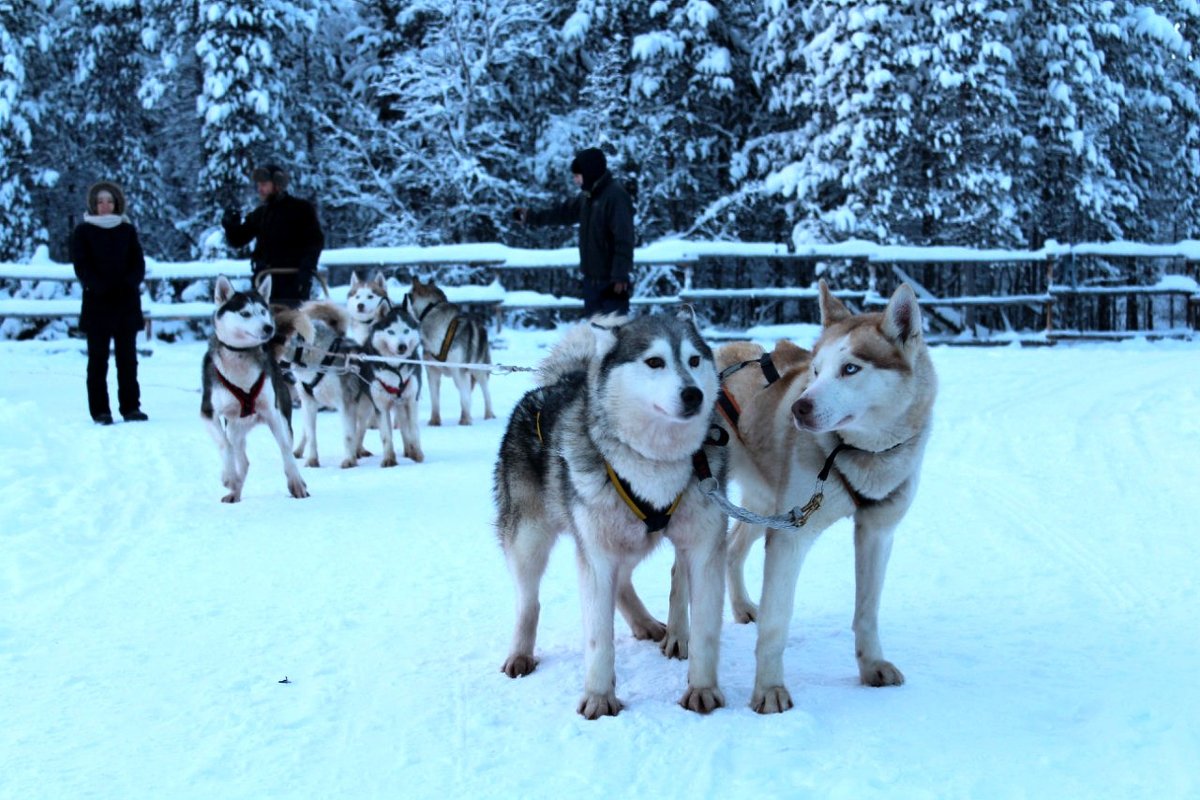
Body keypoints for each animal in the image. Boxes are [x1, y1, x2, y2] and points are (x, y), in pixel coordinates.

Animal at [200, 273, 309, 501]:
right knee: (240, 457)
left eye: (263, 311)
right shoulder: (207, 412)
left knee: (278, 447)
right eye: (245, 313)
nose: (268, 327)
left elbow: (286, 450)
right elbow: (224, 445)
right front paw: (228, 476)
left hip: (280, 418)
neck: (240, 356)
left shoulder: (272, 413)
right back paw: (234, 489)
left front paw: (296, 483)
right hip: (234, 429)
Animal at [405, 277, 494, 424]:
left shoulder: (459, 371)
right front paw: (434, 421)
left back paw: (488, 415)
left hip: (478, 370)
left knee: (485, 392)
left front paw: (466, 421)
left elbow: (465, 399)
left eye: (408, 296)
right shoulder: (432, 372)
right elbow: (435, 400)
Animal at [492, 311, 724, 719]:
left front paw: (702, 689)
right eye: (655, 362)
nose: (694, 393)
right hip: (528, 538)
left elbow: (706, 631)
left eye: (694, 360)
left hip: (635, 541)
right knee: (528, 599)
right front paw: (600, 697)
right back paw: (520, 652)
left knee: (623, 582)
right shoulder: (596, 555)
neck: (654, 462)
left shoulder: (704, 549)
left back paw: (644, 623)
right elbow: (599, 638)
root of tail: (561, 380)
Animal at [710, 280, 936, 714]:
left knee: (732, 548)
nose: (799, 407)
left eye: (850, 369)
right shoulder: (790, 537)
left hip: (764, 504)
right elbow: (776, 622)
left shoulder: (876, 532)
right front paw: (769, 689)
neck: (857, 452)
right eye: (815, 370)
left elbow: (867, 610)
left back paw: (742, 606)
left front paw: (872, 665)